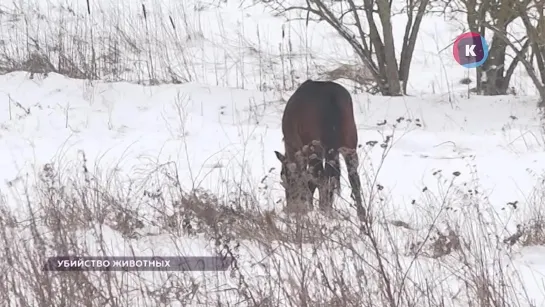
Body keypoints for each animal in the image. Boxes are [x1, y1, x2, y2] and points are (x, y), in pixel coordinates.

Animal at [274, 79, 364, 218]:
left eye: (284, 177)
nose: (290, 208)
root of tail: (332, 97)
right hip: (348, 146)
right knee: (353, 178)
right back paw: (361, 215)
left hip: (315, 148)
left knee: (321, 177)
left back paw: (324, 209)